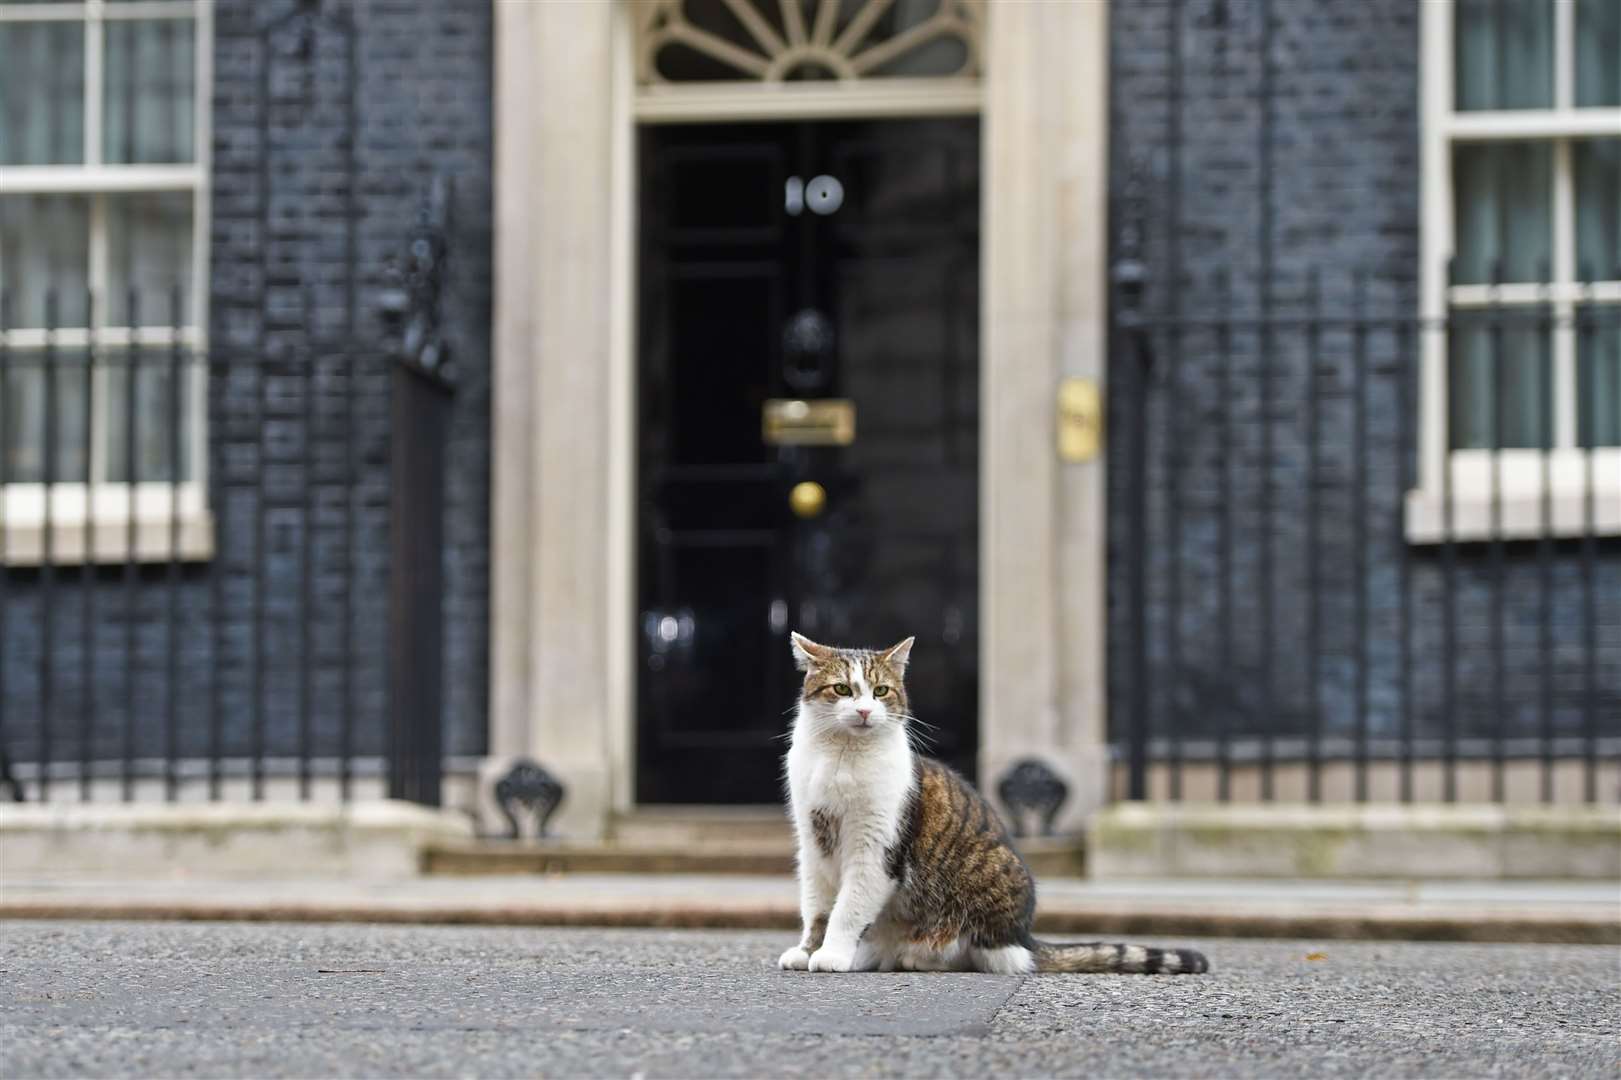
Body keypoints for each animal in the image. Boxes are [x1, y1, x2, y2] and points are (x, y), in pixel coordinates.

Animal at [778, 632, 1212, 972]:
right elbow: (816, 908)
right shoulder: (811, 843)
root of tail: (1024, 936)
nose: (866, 710)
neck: (840, 757)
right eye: (842, 689)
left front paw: (833, 954)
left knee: (987, 955)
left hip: (989, 880)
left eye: (881, 691)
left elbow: (847, 910)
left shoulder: (875, 849)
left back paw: (914, 956)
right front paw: (808, 950)